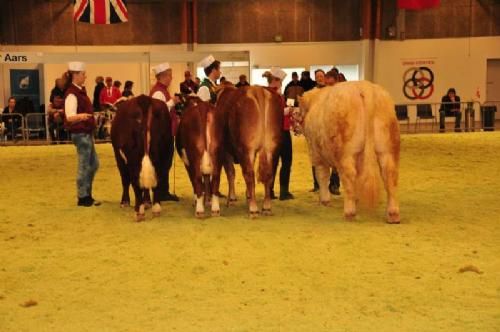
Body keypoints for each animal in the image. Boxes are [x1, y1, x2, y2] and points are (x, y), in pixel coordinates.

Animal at [110, 94, 173, 222]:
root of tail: (144, 99)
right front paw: (147, 201)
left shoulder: (119, 156)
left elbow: (125, 180)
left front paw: (125, 202)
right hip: (165, 153)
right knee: (159, 177)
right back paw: (156, 208)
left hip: (133, 157)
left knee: (135, 181)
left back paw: (139, 211)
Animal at [217, 85, 284, 217]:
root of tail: (257, 90)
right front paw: (247, 196)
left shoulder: (226, 152)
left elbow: (231, 173)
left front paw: (231, 199)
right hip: (271, 147)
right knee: (269, 174)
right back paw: (266, 207)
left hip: (247, 149)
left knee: (249, 174)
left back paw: (253, 209)